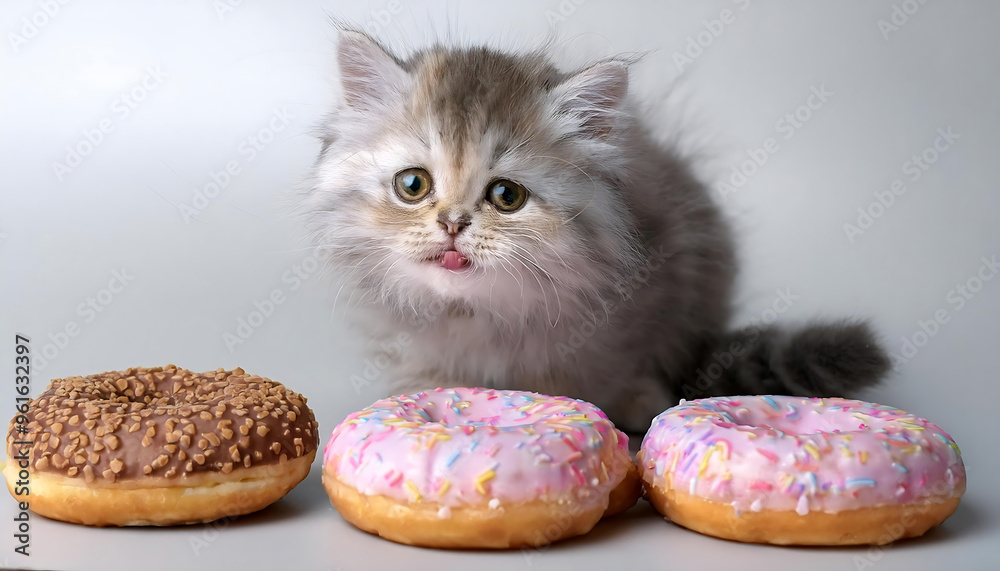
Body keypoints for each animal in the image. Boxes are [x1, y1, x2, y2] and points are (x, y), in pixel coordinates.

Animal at [298, 29, 892, 432]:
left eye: (506, 196)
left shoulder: (657, 284)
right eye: (413, 185)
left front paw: (621, 403)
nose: (452, 223)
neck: (482, 315)